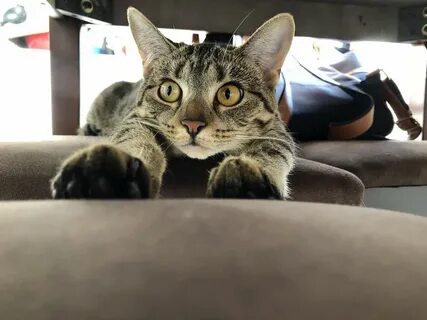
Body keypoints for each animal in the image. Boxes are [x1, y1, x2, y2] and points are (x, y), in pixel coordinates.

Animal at [50, 7, 296, 200]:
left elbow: (272, 150)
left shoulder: (277, 130)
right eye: (168, 90)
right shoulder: (135, 117)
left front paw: (250, 174)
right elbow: (135, 138)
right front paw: (107, 173)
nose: (192, 125)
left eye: (229, 94)